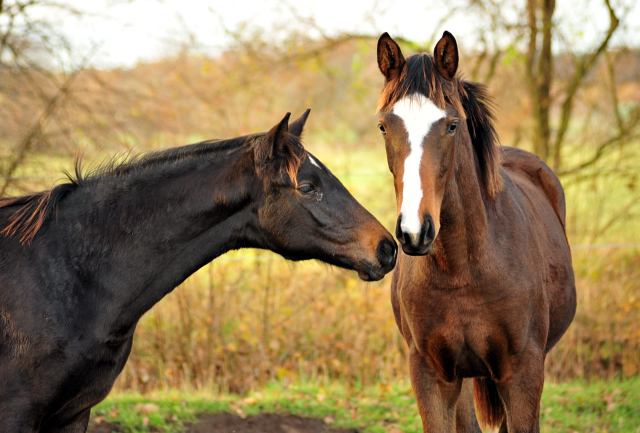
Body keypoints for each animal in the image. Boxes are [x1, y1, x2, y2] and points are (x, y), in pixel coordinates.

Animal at [378, 32, 576, 430]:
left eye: (452, 125)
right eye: (384, 127)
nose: (414, 232)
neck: (463, 270)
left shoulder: (523, 374)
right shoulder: (431, 376)